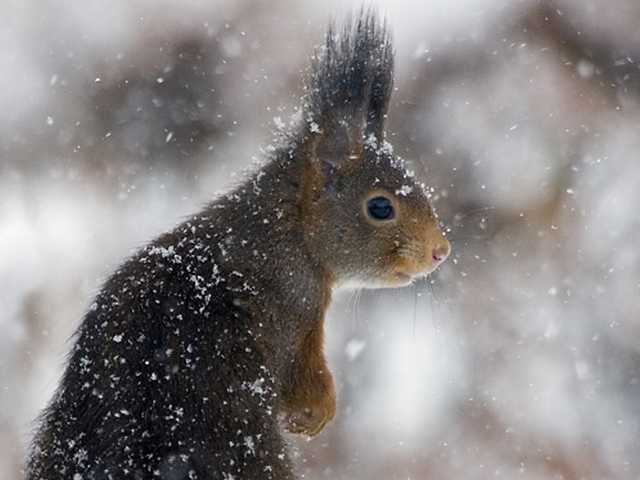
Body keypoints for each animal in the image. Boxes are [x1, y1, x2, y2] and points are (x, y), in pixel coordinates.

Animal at [25, 10, 450, 480]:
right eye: (380, 207)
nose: (440, 251)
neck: (288, 230)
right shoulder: (295, 304)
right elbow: (303, 377)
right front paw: (315, 414)